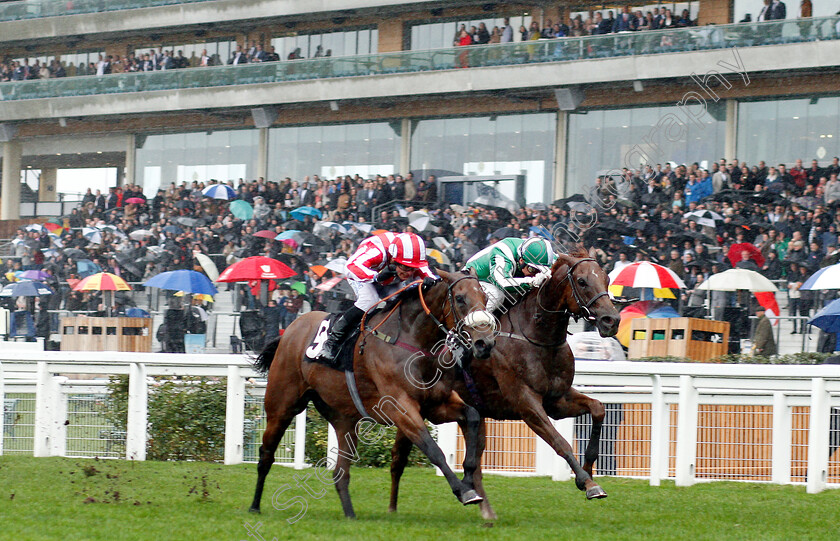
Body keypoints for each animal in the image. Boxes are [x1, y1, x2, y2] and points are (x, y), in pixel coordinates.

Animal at [249, 268, 498, 516]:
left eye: (485, 298)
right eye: (460, 298)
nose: (484, 343)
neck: (412, 340)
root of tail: (289, 330)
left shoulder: (436, 405)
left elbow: (473, 417)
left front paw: (469, 480)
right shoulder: (401, 408)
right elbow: (433, 449)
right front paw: (464, 491)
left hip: (344, 419)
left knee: (340, 472)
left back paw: (350, 515)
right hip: (282, 406)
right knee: (266, 454)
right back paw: (254, 506)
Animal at [390, 247, 620, 516]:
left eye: (606, 278)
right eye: (582, 281)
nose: (611, 320)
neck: (536, 336)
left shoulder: (557, 399)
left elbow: (598, 408)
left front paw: (589, 468)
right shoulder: (526, 403)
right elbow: (560, 442)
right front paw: (588, 483)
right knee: (399, 458)